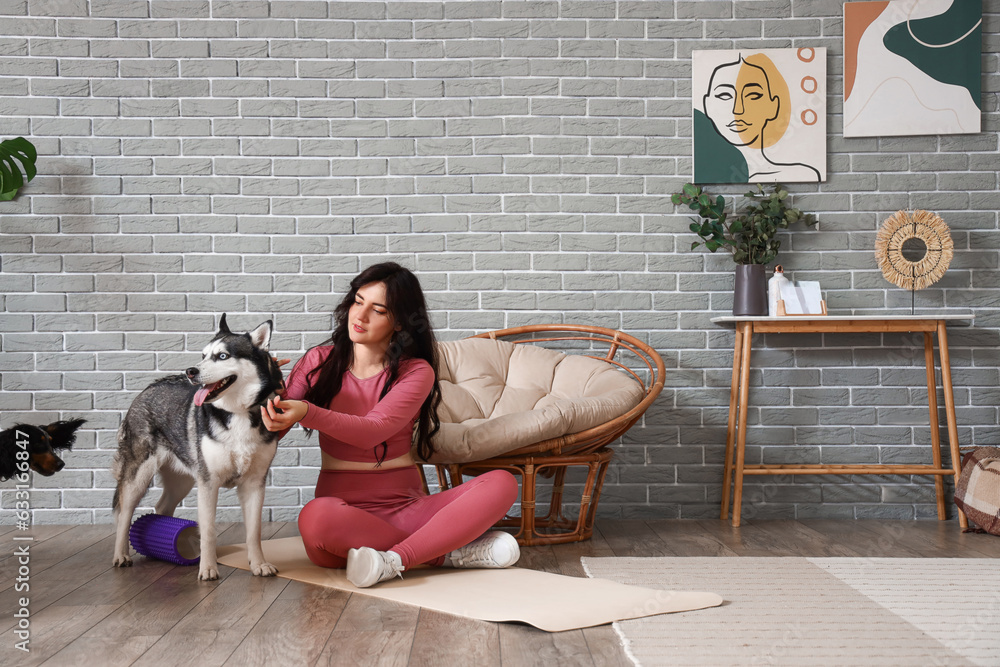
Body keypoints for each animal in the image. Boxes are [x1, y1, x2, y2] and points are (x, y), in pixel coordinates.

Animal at [114, 316, 286, 580]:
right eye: (203, 355)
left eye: (222, 356)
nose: (190, 371)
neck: (237, 413)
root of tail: (148, 388)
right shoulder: (208, 483)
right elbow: (208, 531)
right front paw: (208, 568)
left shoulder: (255, 483)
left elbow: (254, 531)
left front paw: (259, 564)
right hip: (139, 476)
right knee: (124, 512)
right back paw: (121, 554)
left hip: (183, 480)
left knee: (162, 506)